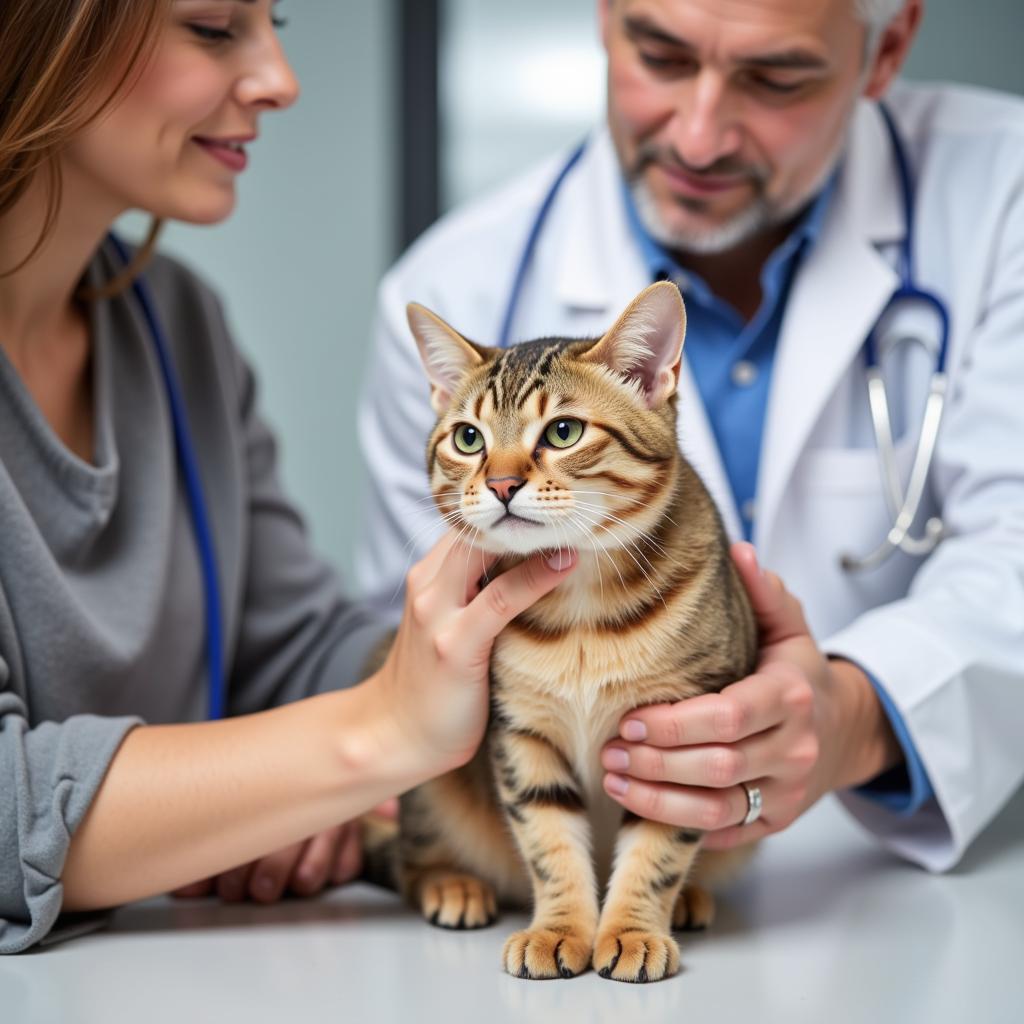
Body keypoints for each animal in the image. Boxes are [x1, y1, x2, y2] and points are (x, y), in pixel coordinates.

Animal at [395, 280, 757, 983]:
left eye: (563, 431)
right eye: (469, 438)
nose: (502, 482)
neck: (582, 611)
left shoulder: (676, 738)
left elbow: (657, 847)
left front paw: (633, 928)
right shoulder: (521, 733)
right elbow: (549, 840)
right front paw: (561, 928)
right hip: (431, 784)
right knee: (407, 860)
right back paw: (451, 883)